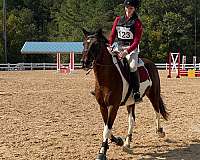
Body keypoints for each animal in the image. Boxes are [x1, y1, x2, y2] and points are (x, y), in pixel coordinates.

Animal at [81, 28, 169, 160]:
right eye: (83, 44)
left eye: (95, 45)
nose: (84, 62)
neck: (107, 77)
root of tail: (151, 63)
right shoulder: (102, 106)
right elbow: (107, 126)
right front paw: (118, 141)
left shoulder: (114, 106)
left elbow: (107, 128)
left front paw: (102, 152)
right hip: (131, 101)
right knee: (131, 120)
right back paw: (127, 143)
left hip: (153, 94)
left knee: (156, 111)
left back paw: (160, 131)